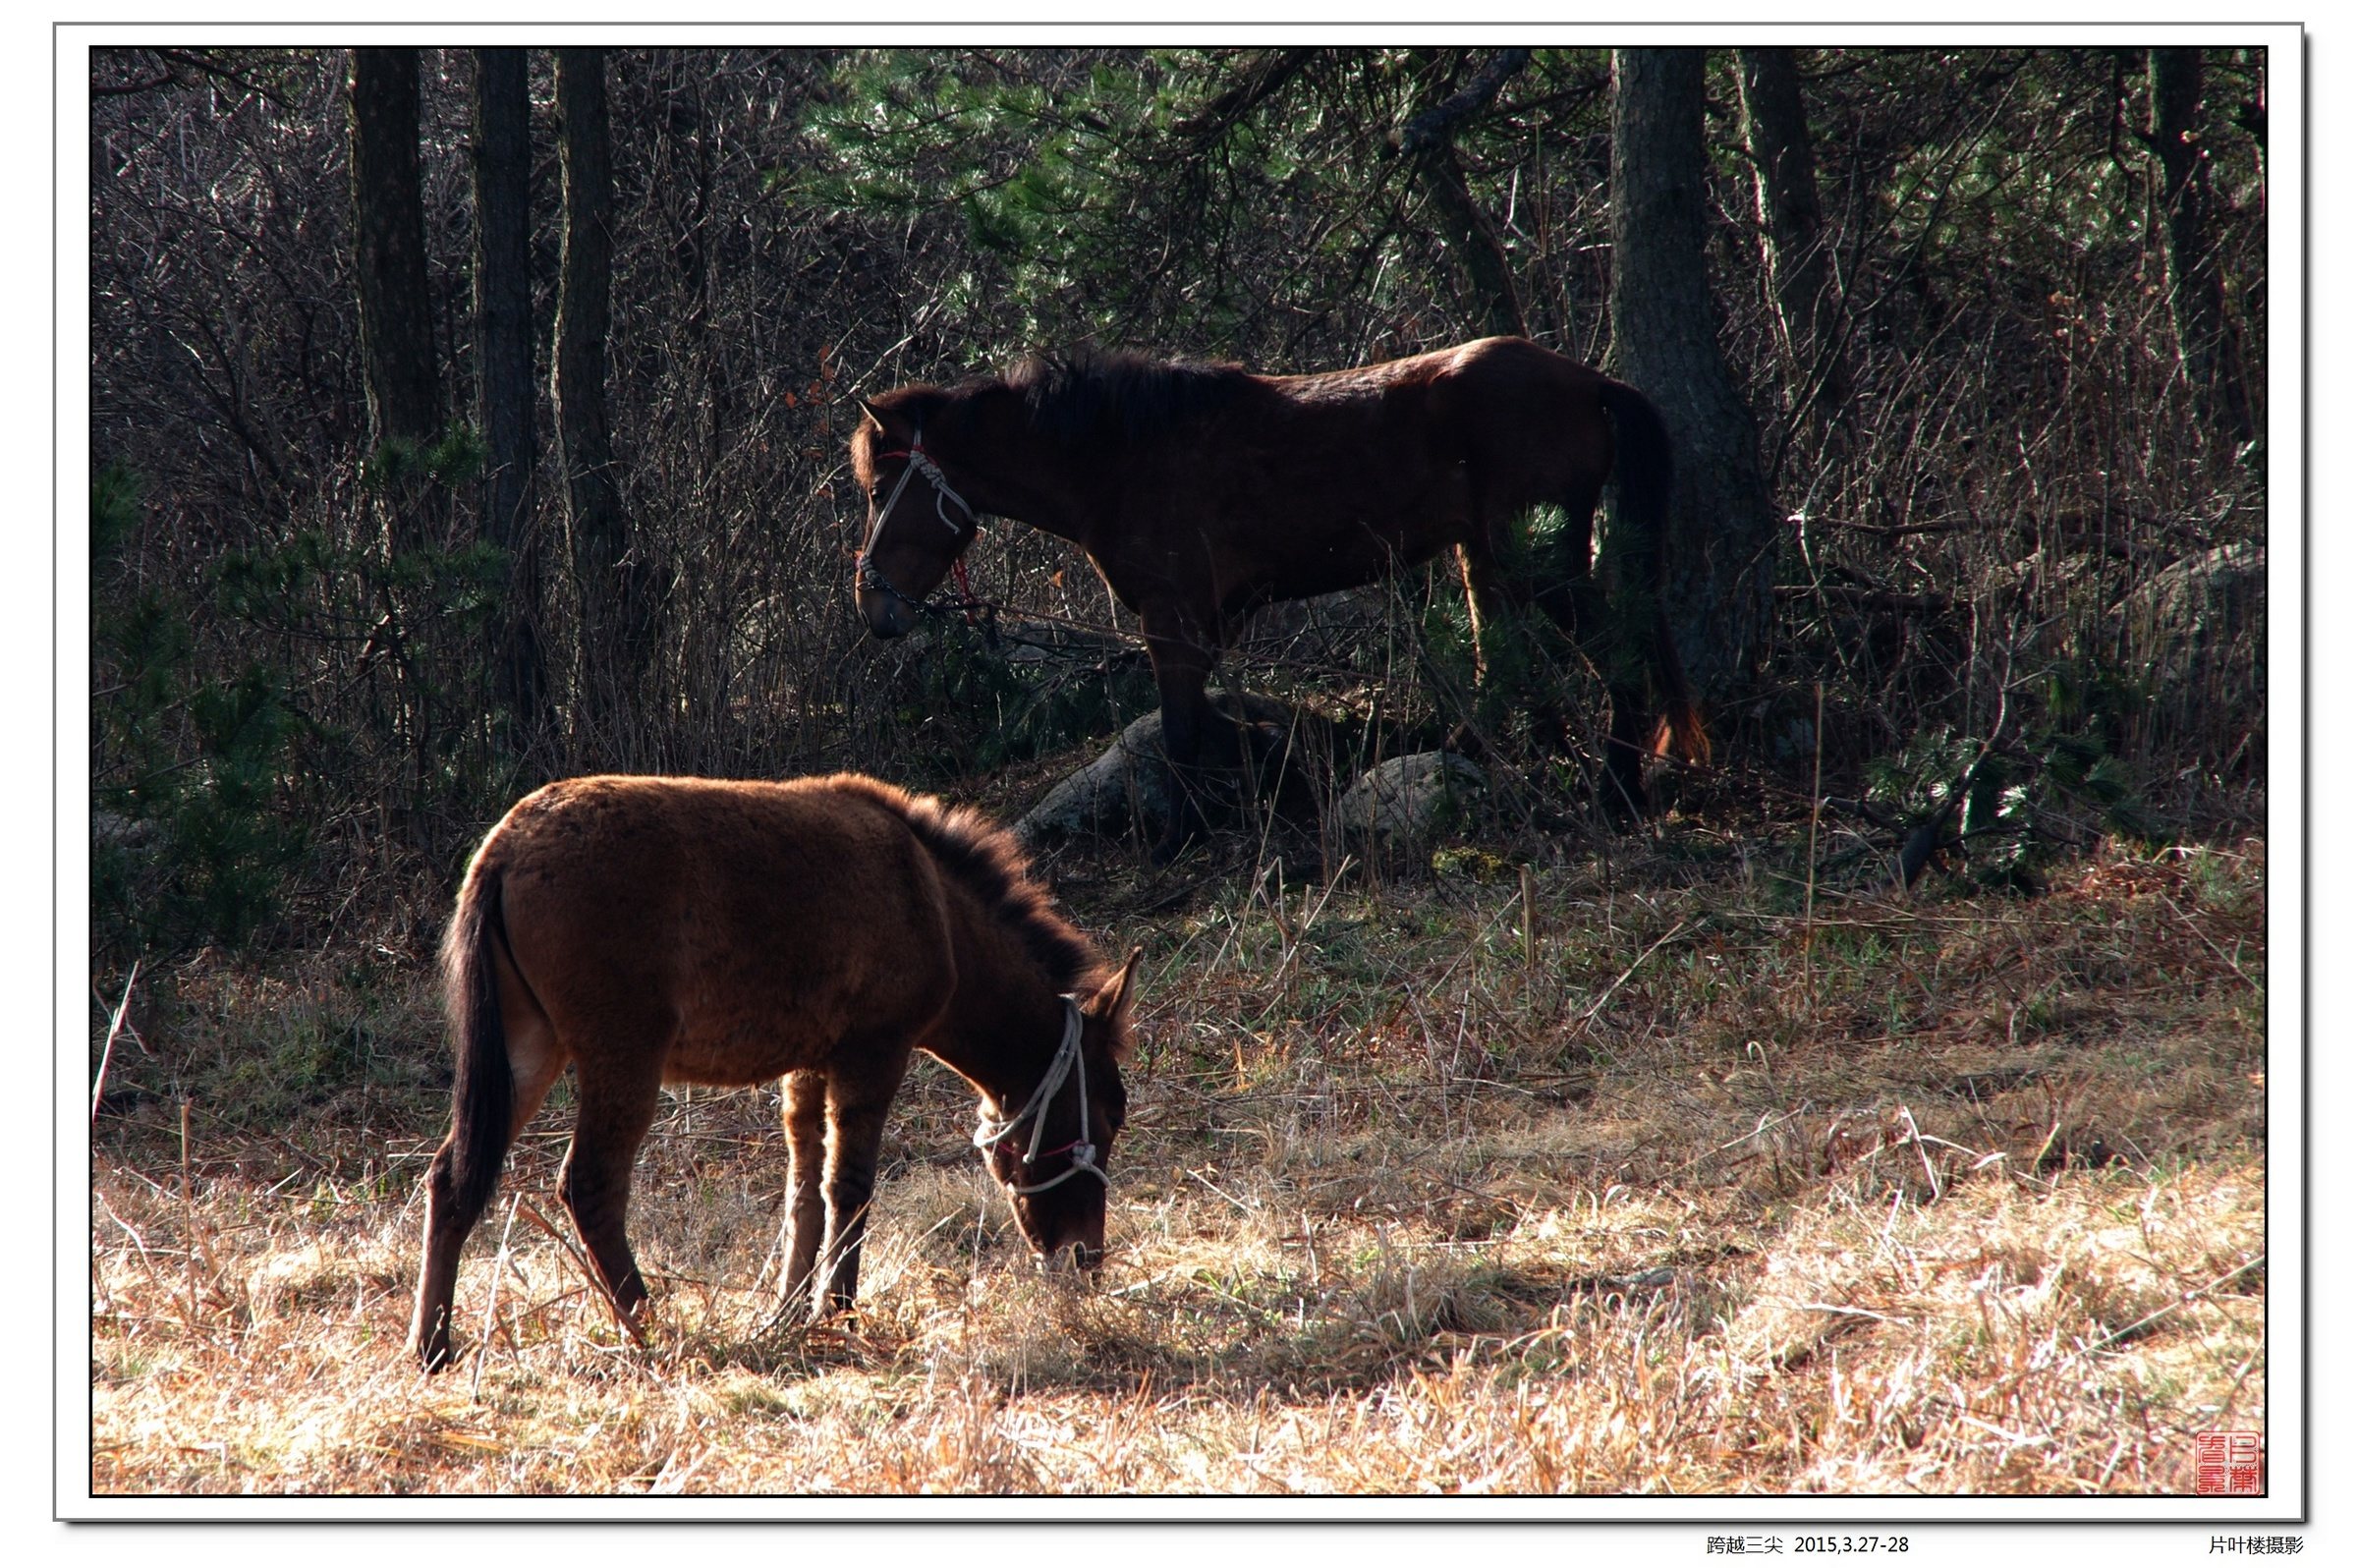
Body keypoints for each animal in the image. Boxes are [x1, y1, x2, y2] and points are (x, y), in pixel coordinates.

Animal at [413, 768, 1141, 1368]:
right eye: (1109, 1114)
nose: (1087, 1259)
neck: (933, 905)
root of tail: (504, 850)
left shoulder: (807, 1067)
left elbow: (803, 1193)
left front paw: (788, 1316)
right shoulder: (873, 1054)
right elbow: (850, 1187)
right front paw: (837, 1314)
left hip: (530, 1048)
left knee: (452, 1178)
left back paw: (433, 1345)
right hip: (622, 1057)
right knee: (589, 1187)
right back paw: (652, 1329)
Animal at [858, 332, 1707, 863]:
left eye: (874, 490)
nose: (875, 610)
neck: (1120, 455)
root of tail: (1590, 380)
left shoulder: (1173, 618)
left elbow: (1179, 732)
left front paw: (1177, 843)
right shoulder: (1207, 623)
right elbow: (1203, 728)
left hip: (1540, 565)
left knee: (1619, 658)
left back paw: (1617, 792)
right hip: (1485, 563)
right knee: (1508, 672)